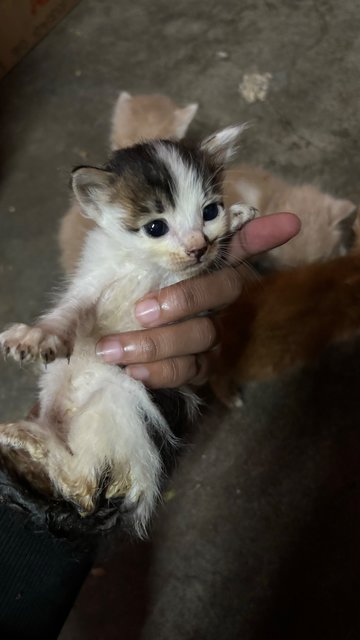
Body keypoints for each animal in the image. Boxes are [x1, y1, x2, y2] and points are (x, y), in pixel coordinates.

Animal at [0, 125, 258, 536]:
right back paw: (26, 439)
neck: (143, 266)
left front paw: (236, 216)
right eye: (155, 227)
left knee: (83, 488)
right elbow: (69, 312)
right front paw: (37, 335)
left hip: (121, 398)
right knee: (81, 491)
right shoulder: (93, 280)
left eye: (209, 212)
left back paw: (28, 441)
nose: (198, 247)